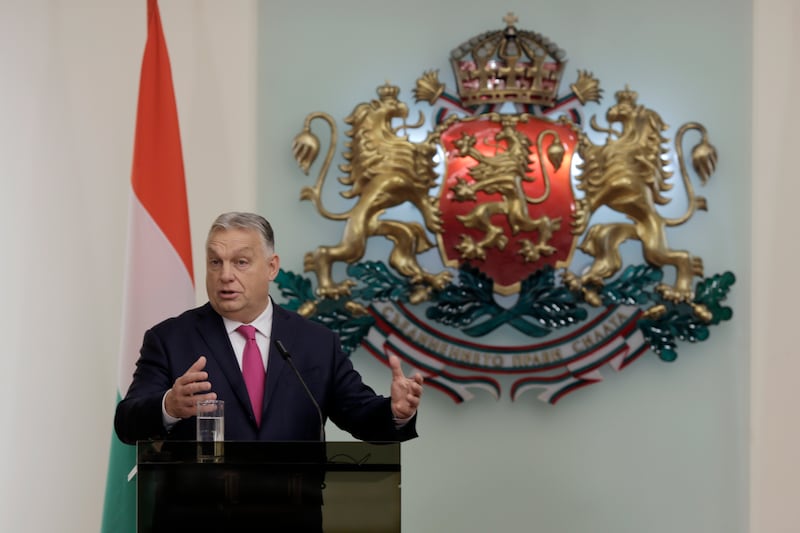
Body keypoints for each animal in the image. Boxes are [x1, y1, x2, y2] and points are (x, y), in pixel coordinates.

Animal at [290, 84, 450, 306]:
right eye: (392, 103)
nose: (405, 107)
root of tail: (350, 216)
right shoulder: (405, 184)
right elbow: (421, 198)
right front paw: (434, 220)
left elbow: (426, 152)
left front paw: (442, 129)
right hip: (356, 242)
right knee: (324, 252)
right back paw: (331, 289)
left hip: (386, 230)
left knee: (401, 257)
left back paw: (433, 279)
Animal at [564, 85, 720, 318]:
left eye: (625, 107)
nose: (610, 110)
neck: (627, 145)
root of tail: (662, 221)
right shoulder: (599, 160)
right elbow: (589, 149)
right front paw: (570, 124)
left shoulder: (619, 185)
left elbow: (598, 196)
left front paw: (582, 215)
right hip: (620, 236)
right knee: (606, 258)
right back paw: (579, 279)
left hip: (654, 249)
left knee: (683, 256)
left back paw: (678, 292)